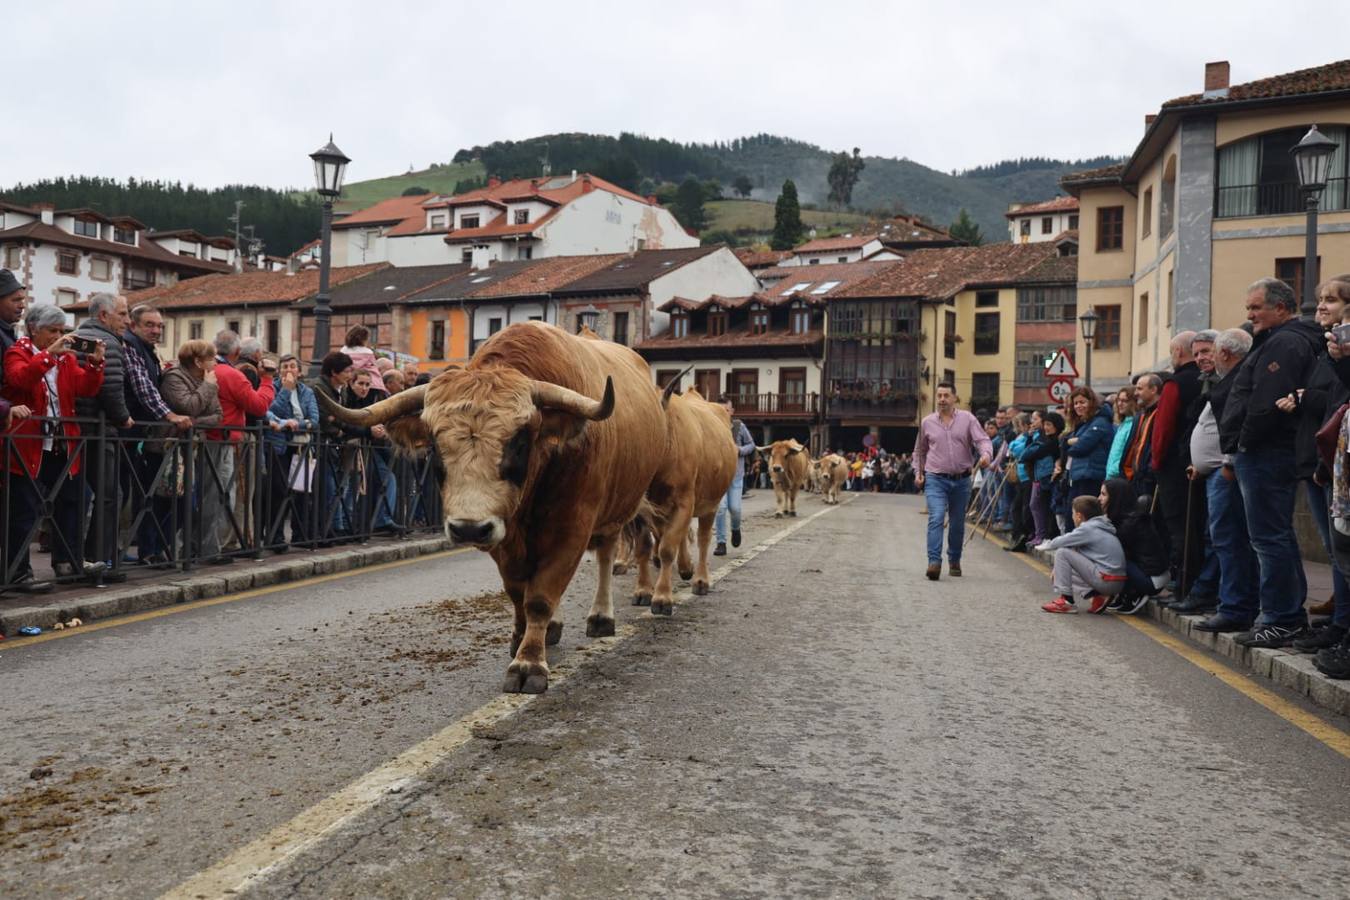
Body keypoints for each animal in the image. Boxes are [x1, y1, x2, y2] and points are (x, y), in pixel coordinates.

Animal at [317, 323, 675, 696]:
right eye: (436, 446)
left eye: (519, 443)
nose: (469, 529)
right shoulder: (503, 537)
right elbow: (519, 592)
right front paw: (523, 637)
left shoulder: (571, 528)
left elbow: (540, 596)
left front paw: (528, 663)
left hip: (617, 513)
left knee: (606, 557)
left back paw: (602, 616)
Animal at [631, 383, 739, 615]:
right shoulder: (639, 510)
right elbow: (644, 547)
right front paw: (643, 590)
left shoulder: (684, 502)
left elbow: (667, 548)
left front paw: (662, 597)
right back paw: (685, 567)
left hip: (711, 503)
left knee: (704, 538)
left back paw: (700, 580)